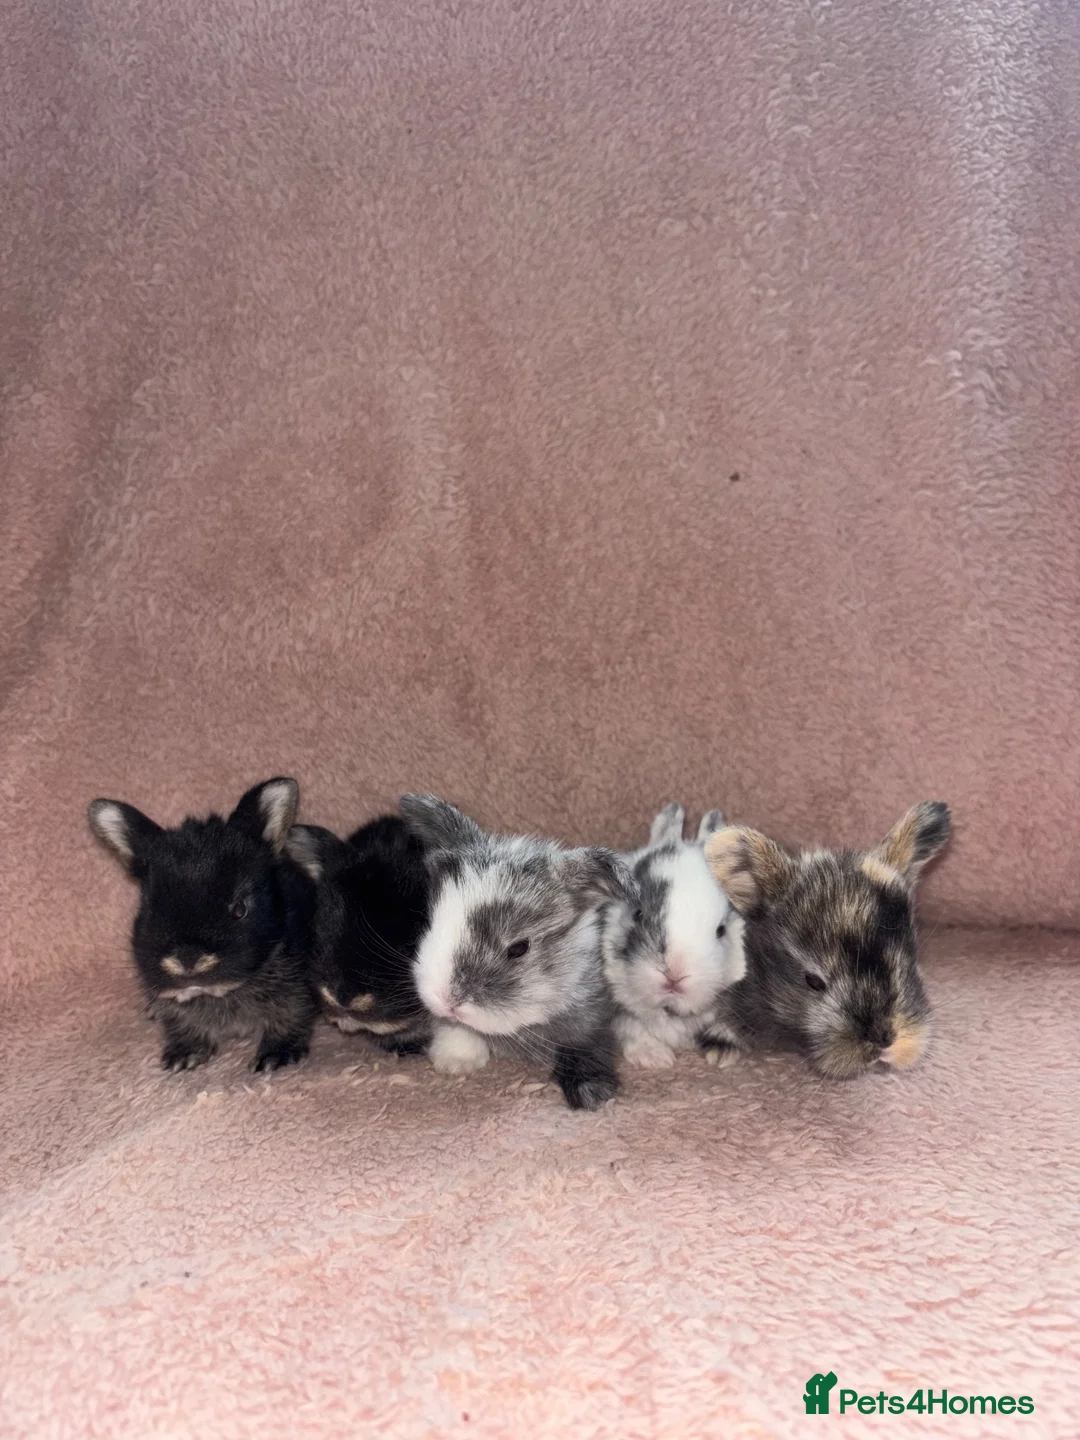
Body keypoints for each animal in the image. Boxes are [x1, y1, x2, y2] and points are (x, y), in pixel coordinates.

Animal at [87, 777, 318, 1073]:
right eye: (149, 910)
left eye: (240, 908)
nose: (188, 959)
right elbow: (182, 1025)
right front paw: (184, 1056)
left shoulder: (296, 990)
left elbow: (290, 1017)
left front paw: (276, 1056)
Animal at [399, 793, 638, 1110]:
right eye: (430, 923)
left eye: (518, 948)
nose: (446, 1001)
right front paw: (456, 1061)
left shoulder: (593, 1010)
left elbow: (585, 1041)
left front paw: (591, 1092)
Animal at [601, 802, 747, 1069]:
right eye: (638, 913)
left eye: (721, 930)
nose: (674, 975)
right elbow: (632, 1029)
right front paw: (655, 1058)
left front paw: (722, 1054)